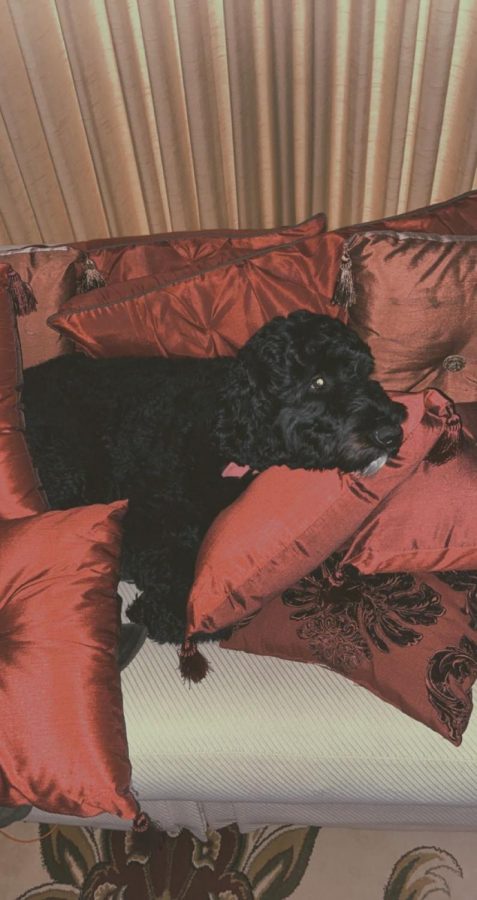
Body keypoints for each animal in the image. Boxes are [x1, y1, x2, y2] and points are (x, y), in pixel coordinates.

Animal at [20, 312, 404, 644]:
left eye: (365, 373)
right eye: (318, 381)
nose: (392, 432)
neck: (228, 428)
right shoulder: (150, 510)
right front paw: (172, 610)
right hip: (68, 468)